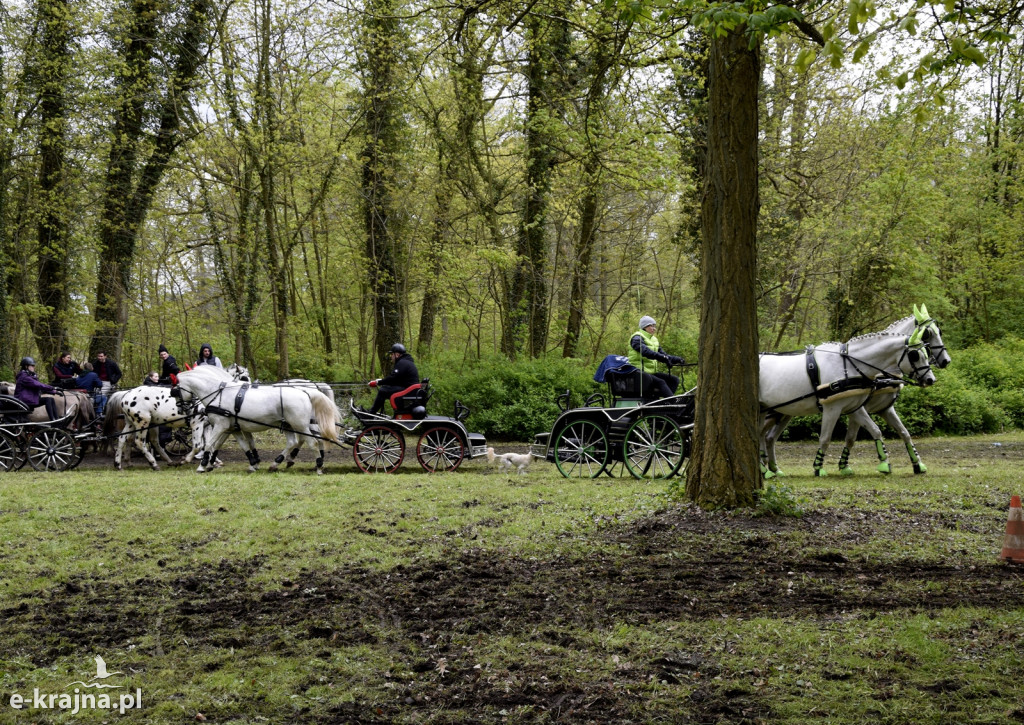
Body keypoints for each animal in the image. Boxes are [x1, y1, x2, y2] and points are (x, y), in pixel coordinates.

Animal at [174, 368, 337, 475]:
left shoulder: (221, 425)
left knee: (313, 442)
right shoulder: (233, 428)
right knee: (293, 442)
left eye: (175, 390)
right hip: (289, 425)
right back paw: (275, 463)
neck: (218, 393)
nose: (181, 409)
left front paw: (202, 465)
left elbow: (209, 444)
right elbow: (244, 445)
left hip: (300, 425)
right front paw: (252, 463)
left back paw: (318, 466)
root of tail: (306, 391)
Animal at [761, 311, 937, 475]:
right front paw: (819, 468)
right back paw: (765, 469)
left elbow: (879, 431)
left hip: (783, 412)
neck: (849, 365)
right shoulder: (832, 408)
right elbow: (826, 438)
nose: (930, 379)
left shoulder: (857, 407)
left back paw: (772, 469)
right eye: (914, 355)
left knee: (766, 436)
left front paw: (889, 463)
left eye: (926, 352)